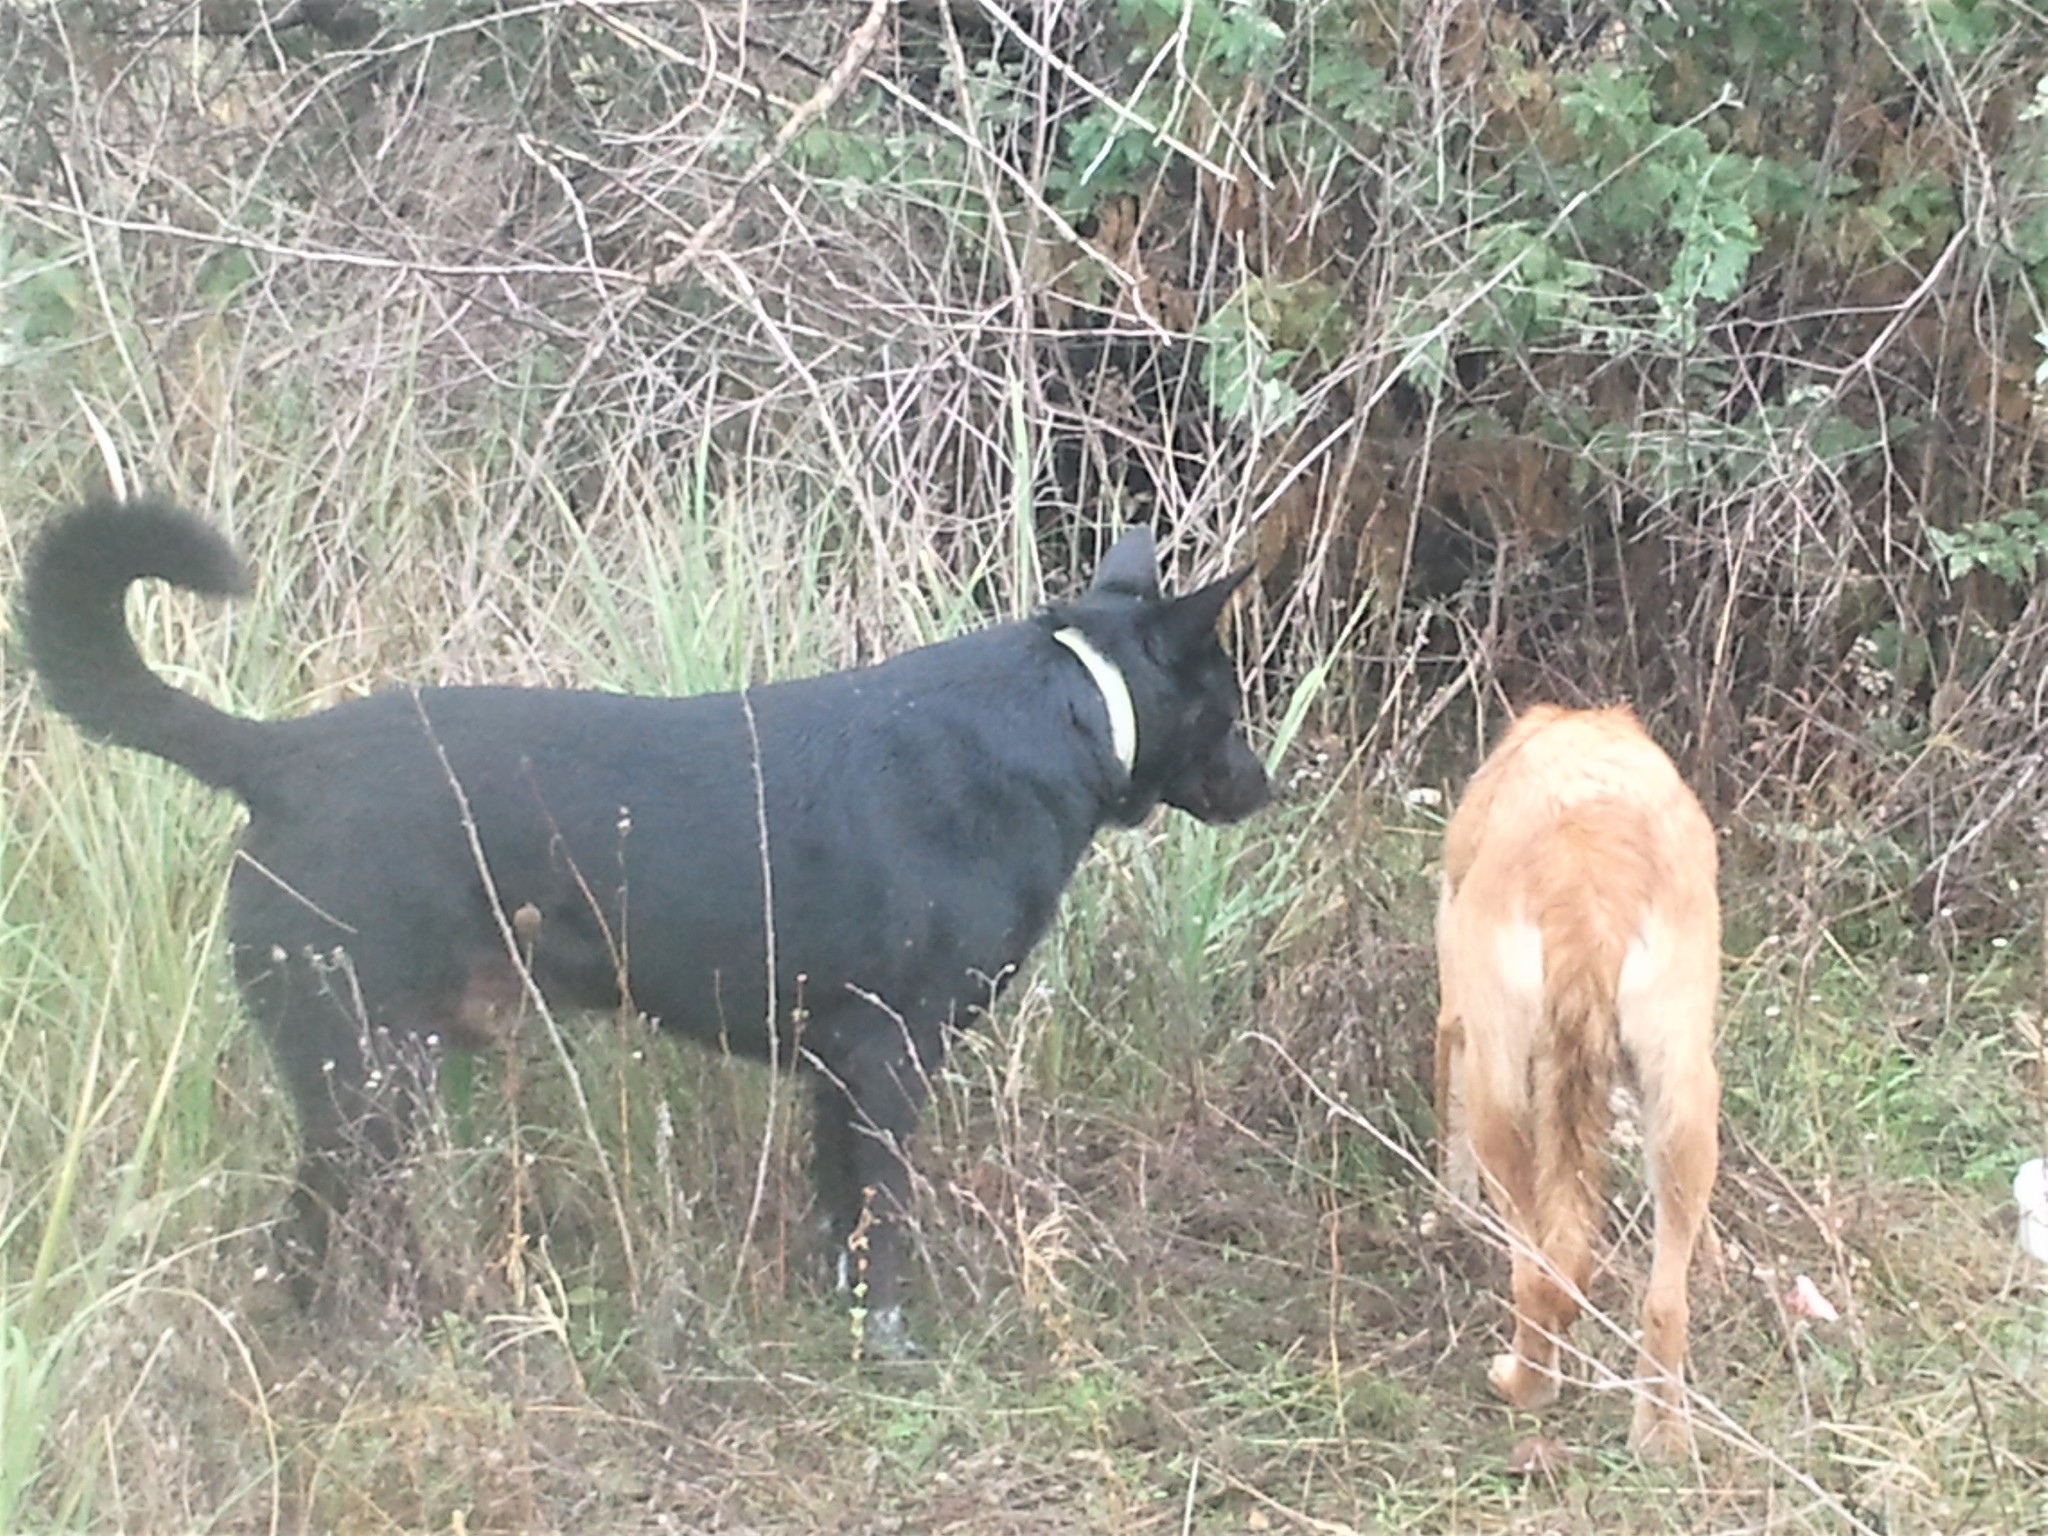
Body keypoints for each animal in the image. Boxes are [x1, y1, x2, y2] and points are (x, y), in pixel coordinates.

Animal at [24, 499, 1269, 1351]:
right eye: (1231, 700)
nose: (1270, 785)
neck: (1072, 710)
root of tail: (274, 755)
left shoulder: (837, 1070)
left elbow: (839, 1215)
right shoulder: (887, 1056)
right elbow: (882, 1222)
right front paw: (889, 1347)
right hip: (364, 1076)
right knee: (324, 1238)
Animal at [1433, 704, 1720, 1458]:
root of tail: (1587, 891)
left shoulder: (1457, 1023)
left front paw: (1446, 1211)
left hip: (1500, 1097)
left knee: (1537, 1278)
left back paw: (1524, 1383)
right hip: (1685, 1096)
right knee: (1665, 1302)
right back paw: (1662, 1437)